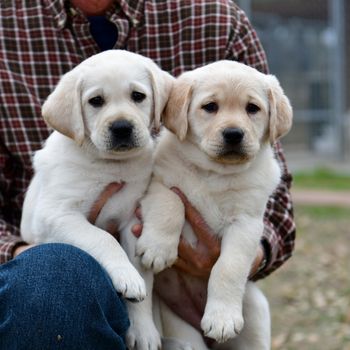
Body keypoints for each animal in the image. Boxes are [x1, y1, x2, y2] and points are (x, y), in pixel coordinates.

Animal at [20, 49, 174, 300]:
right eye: (96, 101)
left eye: (138, 96)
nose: (121, 127)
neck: (110, 164)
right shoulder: (55, 215)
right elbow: (104, 238)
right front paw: (127, 276)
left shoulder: (131, 220)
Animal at [134, 61, 292, 348]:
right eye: (210, 107)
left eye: (252, 108)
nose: (233, 134)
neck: (215, 174)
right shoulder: (159, 185)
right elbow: (171, 205)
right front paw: (158, 248)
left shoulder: (246, 223)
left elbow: (228, 267)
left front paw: (222, 319)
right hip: (183, 331)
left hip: (255, 313)